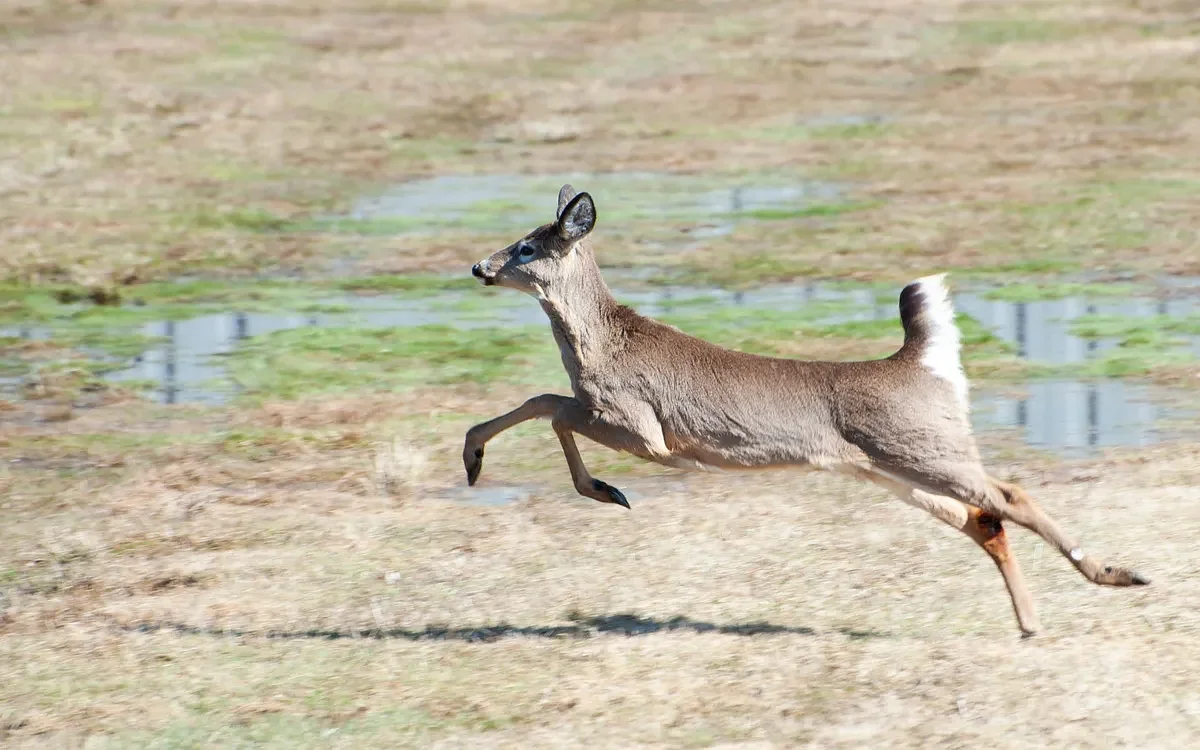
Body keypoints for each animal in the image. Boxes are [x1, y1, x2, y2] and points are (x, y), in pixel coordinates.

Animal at [462, 184, 1149, 636]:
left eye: (526, 248)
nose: (480, 266)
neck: (600, 343)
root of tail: (918, 363)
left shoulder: (643, 428)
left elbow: (552, 405)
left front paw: (602, 490)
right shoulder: (621, 421)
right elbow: (544, 400)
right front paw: (479, 462)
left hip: (921, 449)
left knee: (1009, 495)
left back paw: (1119, 574)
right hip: (888, 466)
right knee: (984, 520)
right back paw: (1032, 624)